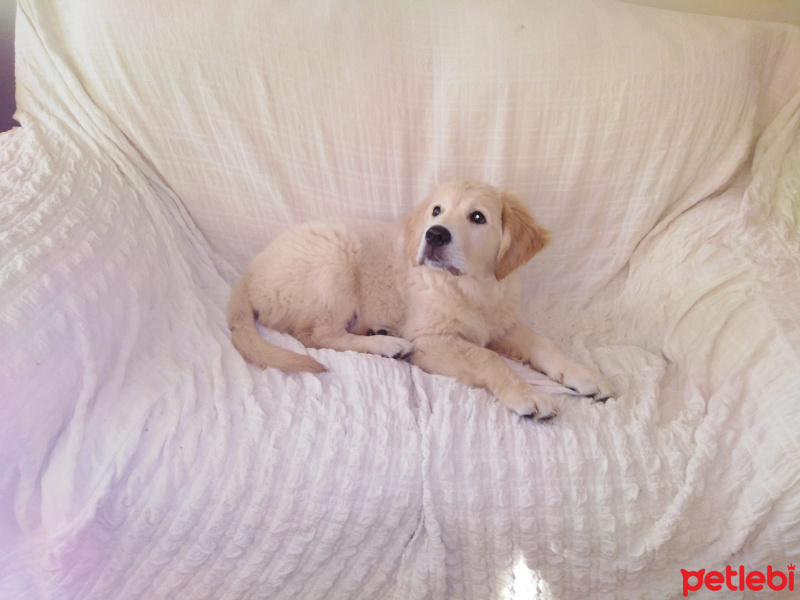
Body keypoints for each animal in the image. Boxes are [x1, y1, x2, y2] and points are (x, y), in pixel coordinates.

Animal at [228, 180, 616, 420]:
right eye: (436, 211)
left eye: (478, 217)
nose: (434, 235)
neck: (471, 288)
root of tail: (251, 270)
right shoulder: (430, 339)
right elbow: (488, 358)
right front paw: (526, 394)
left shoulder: (502, 325)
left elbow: (542, 343)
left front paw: (584, 374)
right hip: (335, 257)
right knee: (317, 335)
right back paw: (387, 345)